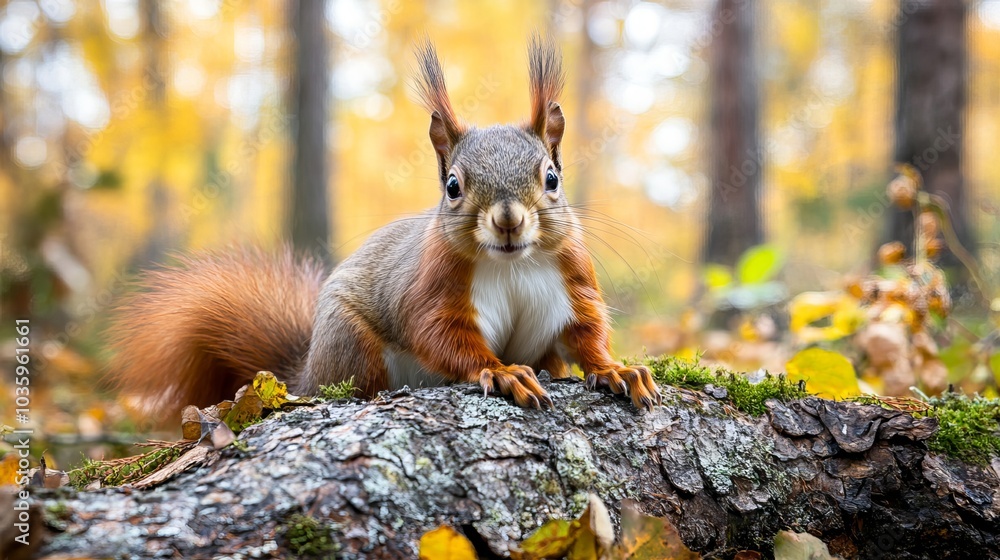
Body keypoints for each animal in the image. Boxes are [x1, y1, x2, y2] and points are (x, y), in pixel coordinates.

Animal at [108, 37, 662, 417]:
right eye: (453, 185)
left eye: (551, 177)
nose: (507, 220)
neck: (512, 265)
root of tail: (306, 371)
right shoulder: (434, 288)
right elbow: (440, 335)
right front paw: (503, 371)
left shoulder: (573, 281)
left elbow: (586, 335)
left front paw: (616, 369)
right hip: (353, 344)